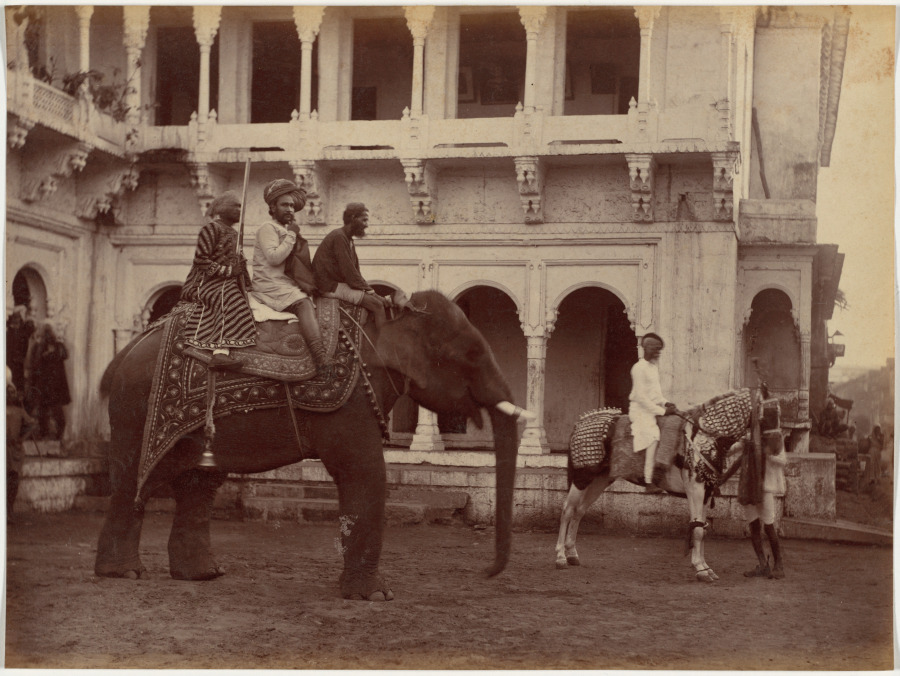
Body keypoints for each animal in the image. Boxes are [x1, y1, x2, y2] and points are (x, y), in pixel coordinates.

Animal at [93, 294, 528, 600]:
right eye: (471, 353)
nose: (484, 573)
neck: (383, 316)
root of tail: (126, 351)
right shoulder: (348, 399)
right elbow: (363, 469)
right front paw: (376, 597)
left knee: (199, 483)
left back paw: (203, 575)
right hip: (135, 408)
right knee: (131, 479)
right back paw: (126, 574)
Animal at [552, 388, 768, 584]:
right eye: (770, 408)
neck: (704, 437)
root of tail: (580, 423)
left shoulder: (706, 492)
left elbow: (702, 527)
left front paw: (705, 567)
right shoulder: (695, 490)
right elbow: (697, 529)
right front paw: (700, 570)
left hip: (600, 480)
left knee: (579, 511)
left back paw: (572, 554)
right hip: (582, 478)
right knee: (568, 511)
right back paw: (560, 557)